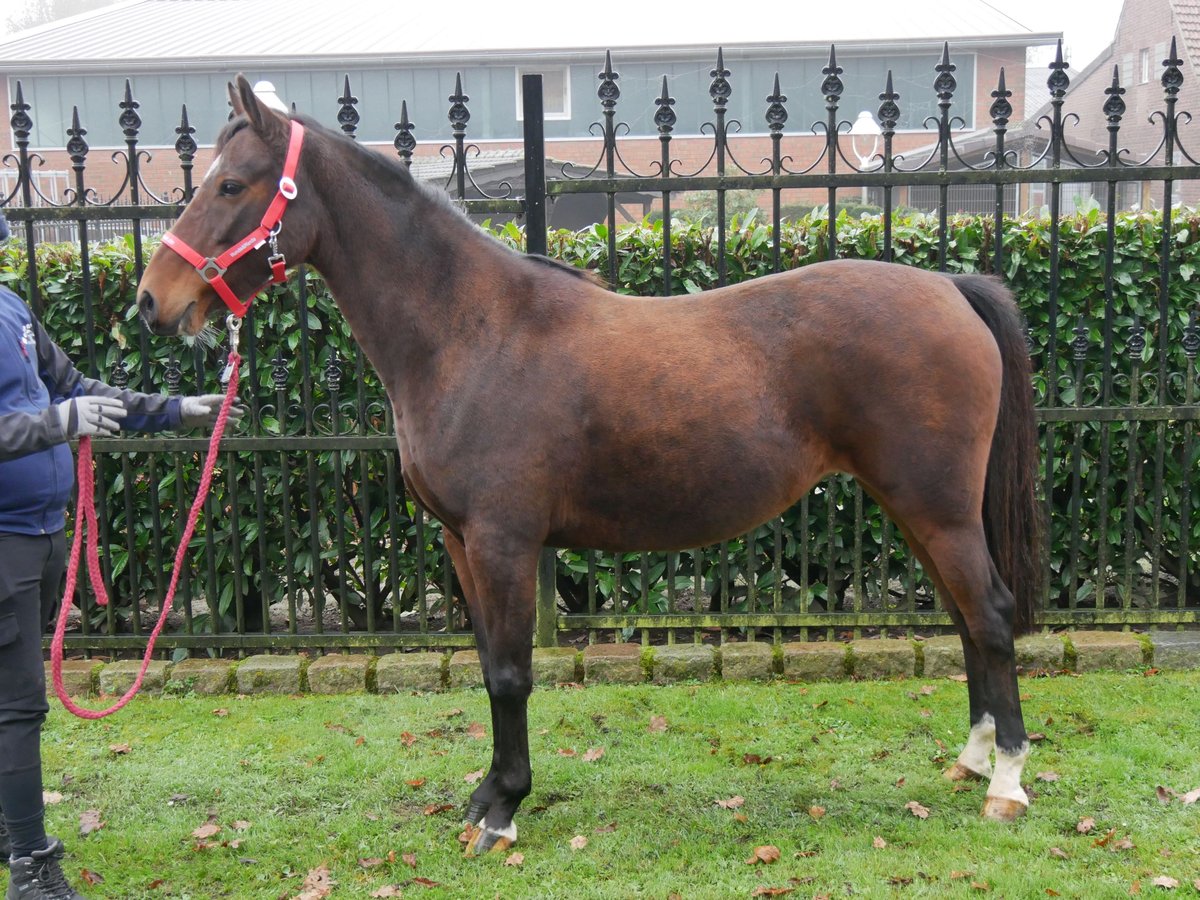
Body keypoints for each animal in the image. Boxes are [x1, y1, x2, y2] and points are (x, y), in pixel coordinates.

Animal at [136, 75, 1041, 854]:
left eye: (232, 185)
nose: (153, 301)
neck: (470, 331)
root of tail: (950, 288)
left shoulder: (503, 542)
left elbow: (510, 674)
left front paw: (503, 811)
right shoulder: (462, 544)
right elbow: (489, 667)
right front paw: (485, 796)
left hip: (937, 509)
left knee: (992, 616)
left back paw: (1006, 785)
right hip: (919, 509)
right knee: (966, 621)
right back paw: (970, 760)